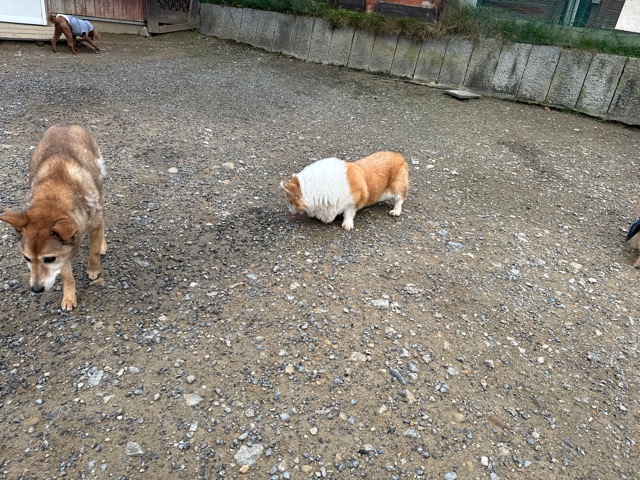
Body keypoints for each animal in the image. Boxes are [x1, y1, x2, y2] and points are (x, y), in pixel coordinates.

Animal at [0, 125, 107, 311]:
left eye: (49, 259)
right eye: (26, 258)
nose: (36, 289)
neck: (53, 198)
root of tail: (65, 126)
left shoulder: (94, 223)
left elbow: (93, 252)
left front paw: (93, 269)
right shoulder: (63, 254)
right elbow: (66, 276)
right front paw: (69, 296)